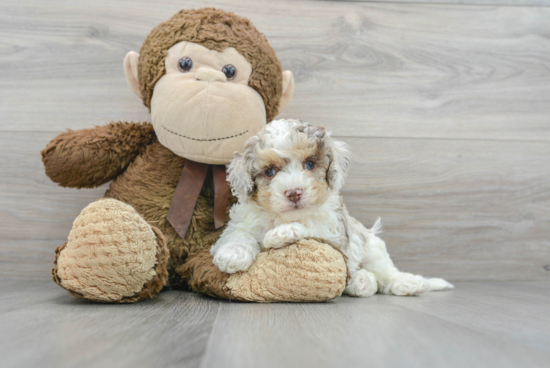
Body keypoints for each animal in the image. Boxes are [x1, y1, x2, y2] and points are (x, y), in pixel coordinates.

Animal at [209, 119, 454, 298]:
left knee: (385, 275)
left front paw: (283, 233)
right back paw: (361, 282)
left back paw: (405, 283)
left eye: (309, 164)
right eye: (270, 171)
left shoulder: (332, 232)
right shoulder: (240, 223)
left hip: (373, 247)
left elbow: (310, 230)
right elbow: (240, 235)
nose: (294, 192)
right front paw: (233, 255)